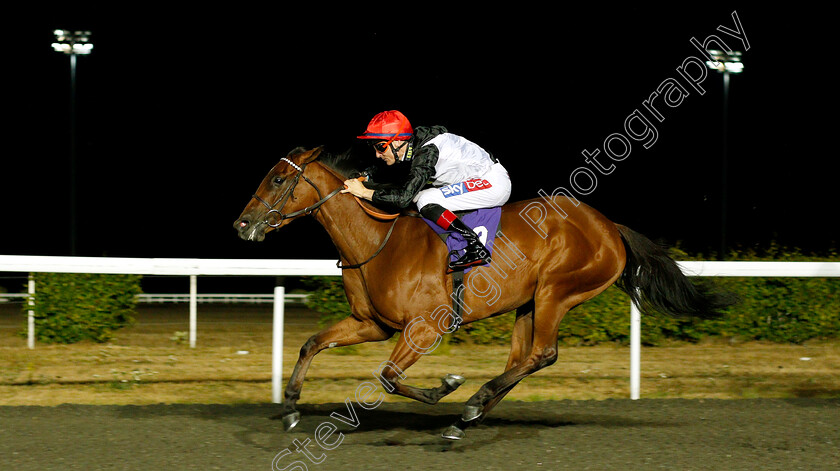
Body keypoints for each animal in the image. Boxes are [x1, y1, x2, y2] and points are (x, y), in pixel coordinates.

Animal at [233, 147, 732, 438]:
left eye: (278, 180)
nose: (242, 224)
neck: (379, 242)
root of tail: (610, 226)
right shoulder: (371, 323)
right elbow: (311, 344)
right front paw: (291, 408)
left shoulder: (424, 326)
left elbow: (389, 377)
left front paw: (447, 387)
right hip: (529, 302)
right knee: (522, 359)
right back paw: (470, 414)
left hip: (557, 291)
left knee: (542, 354)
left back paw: (471, 405)